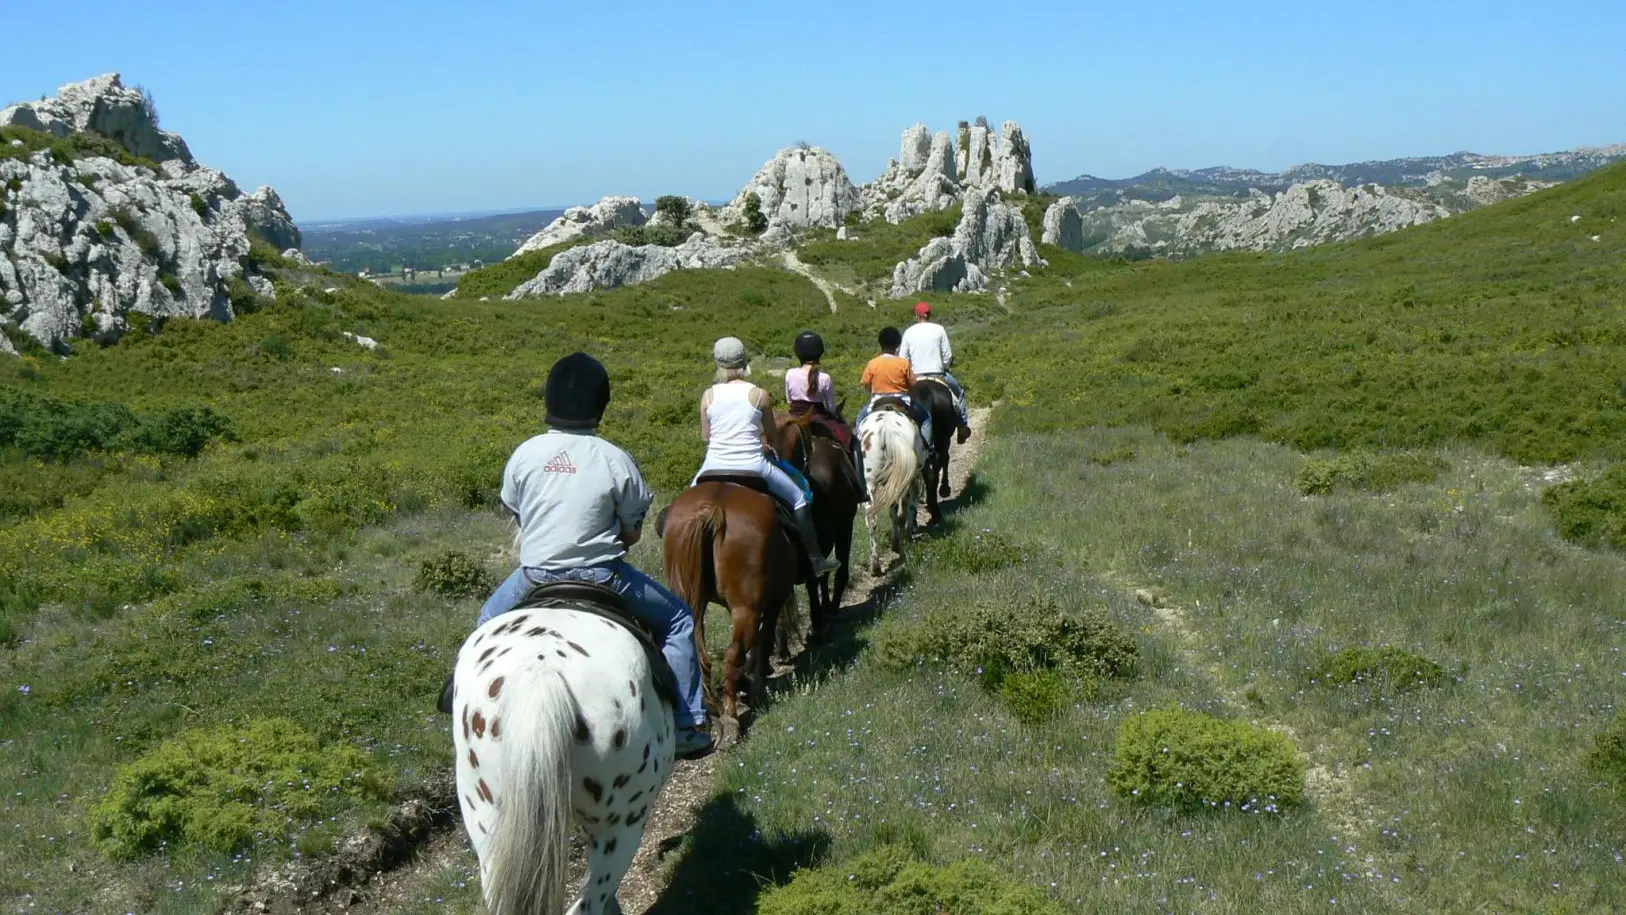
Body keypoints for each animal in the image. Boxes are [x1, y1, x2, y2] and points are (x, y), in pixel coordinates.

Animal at [657, 481, 795, 746]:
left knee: (698, 652)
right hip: (746, 609)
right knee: (735, 654)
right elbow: (764, 640)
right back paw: (732, 717)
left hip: (689, 601)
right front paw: (755, 686)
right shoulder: (773, 601)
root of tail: (712, 508)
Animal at [857, 407, 927, 576]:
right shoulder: (912, 480)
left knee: (872, 518)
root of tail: (885, 430)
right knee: (899, 510)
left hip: (870, 483)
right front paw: (908, 533)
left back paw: (875, 566)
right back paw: (898, 543)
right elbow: (908, 509)